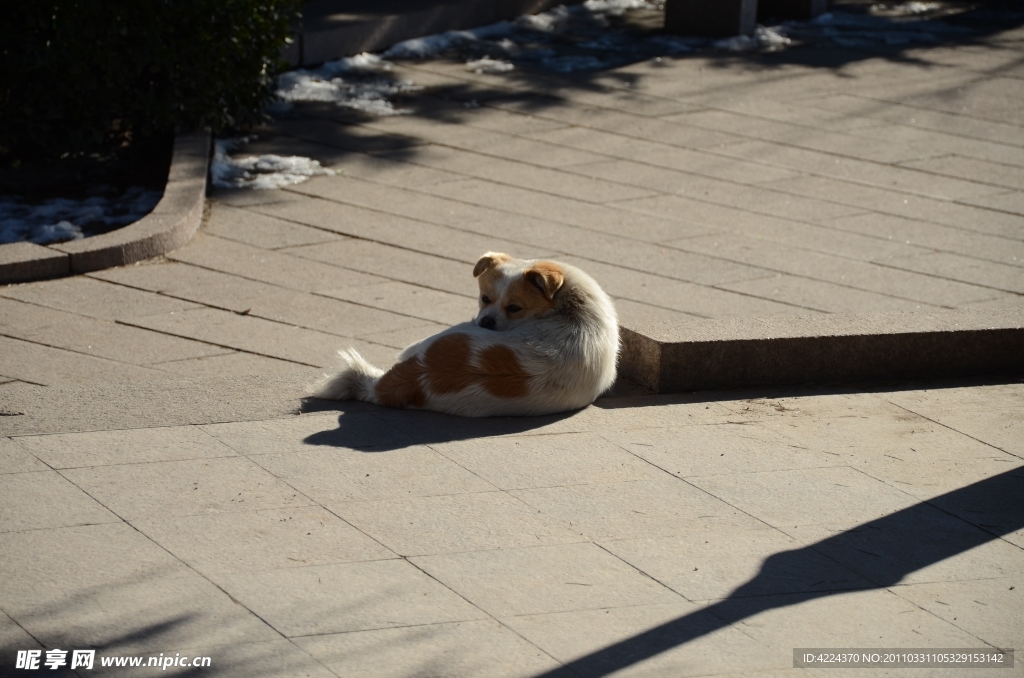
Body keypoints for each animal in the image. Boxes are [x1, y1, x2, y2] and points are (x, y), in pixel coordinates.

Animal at [311, 251, 614, 417]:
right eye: (484, 298)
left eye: (514, 308)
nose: (486, 322)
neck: (572, 306)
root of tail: (416, 376)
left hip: (440, 337)